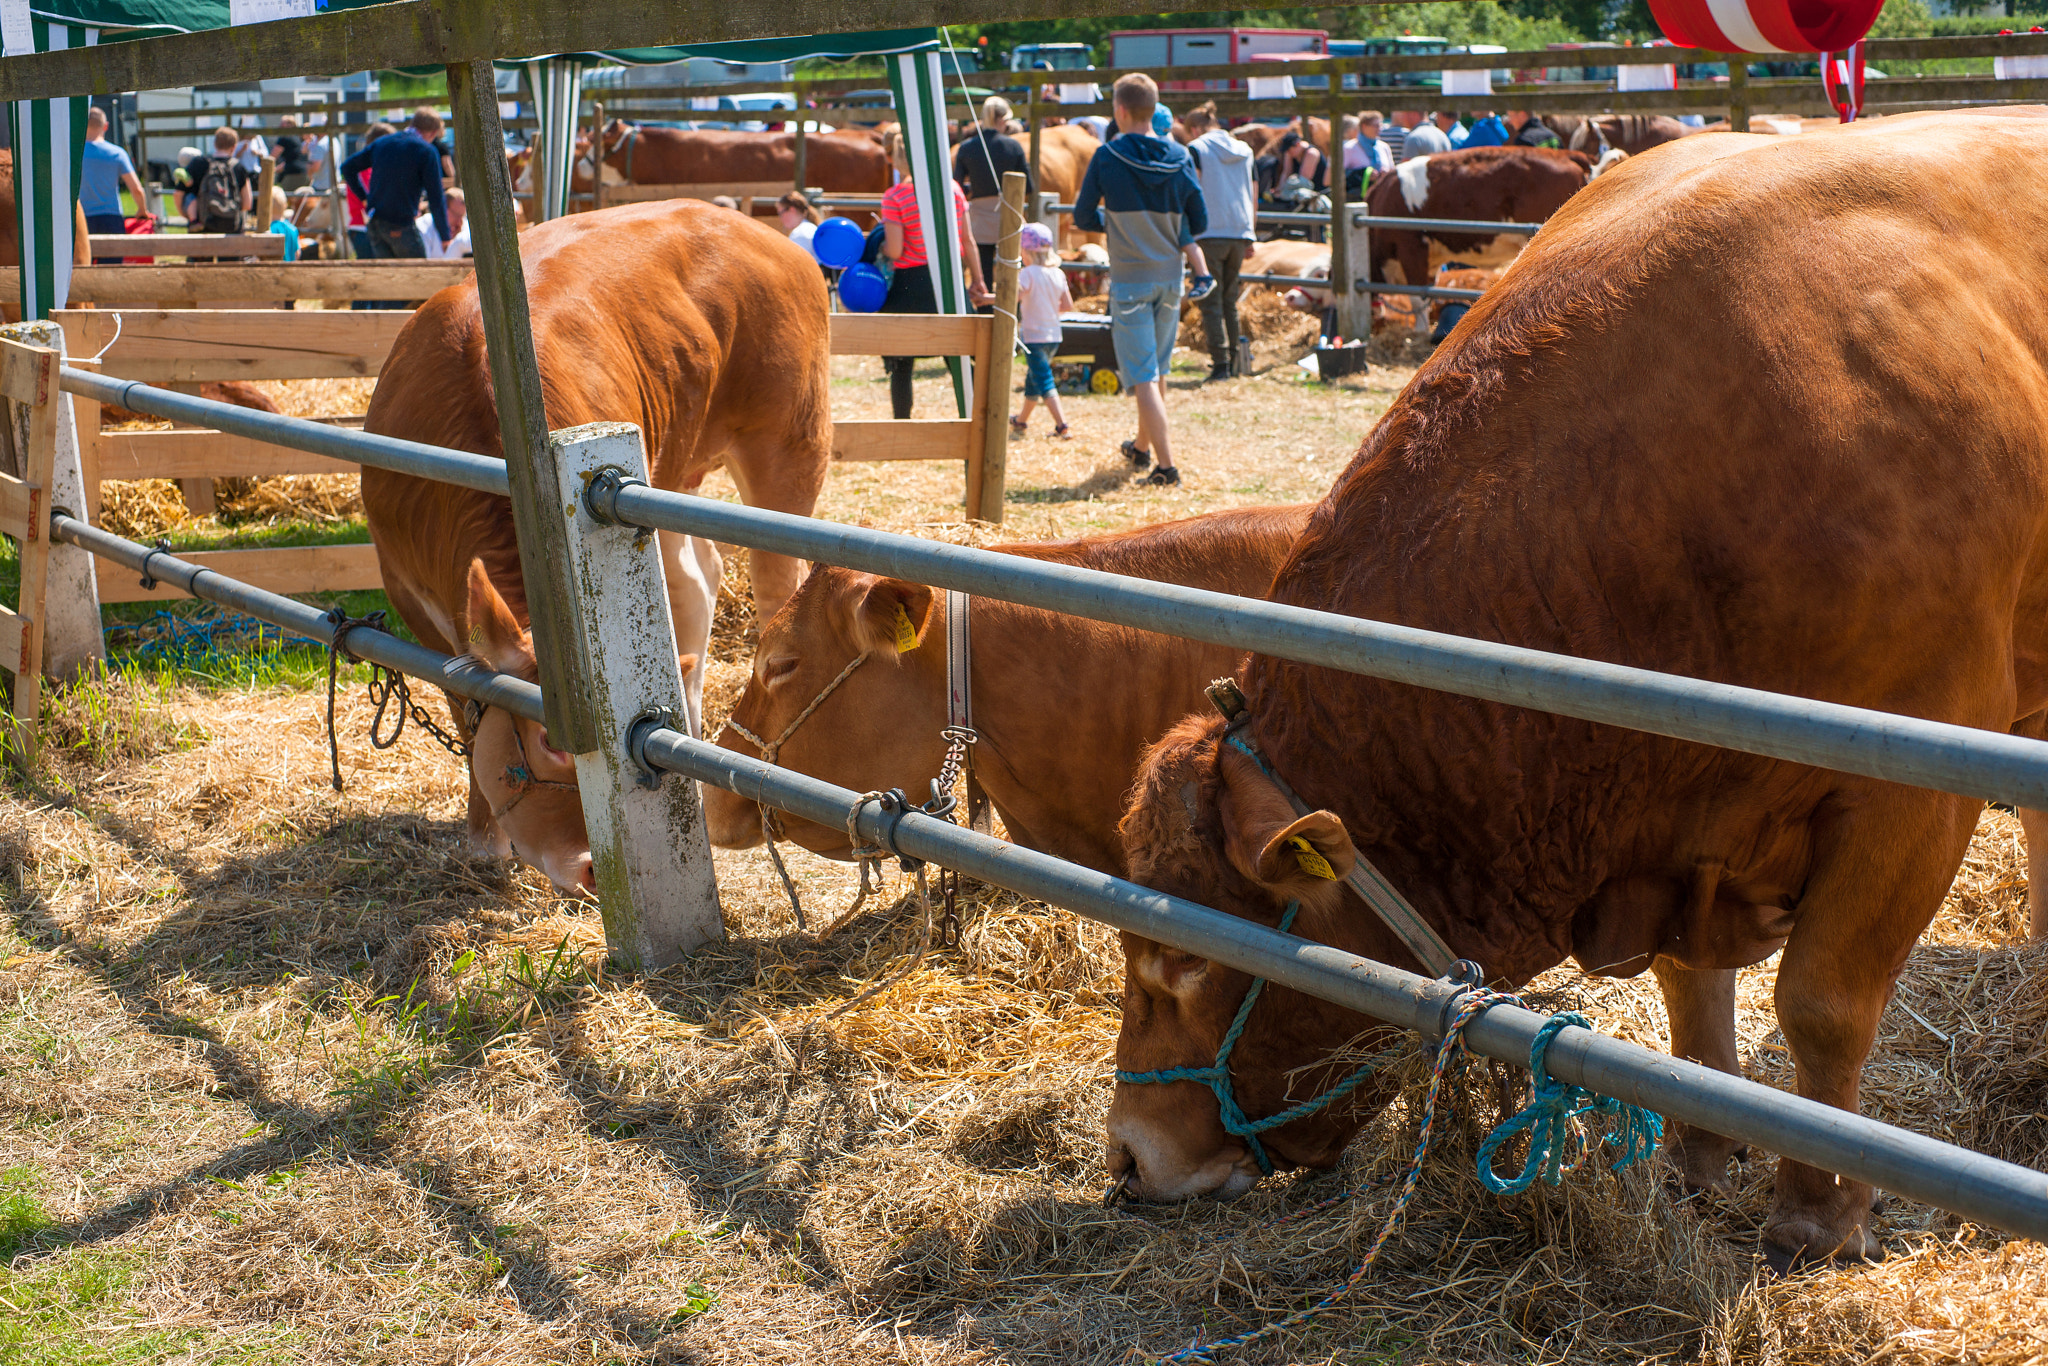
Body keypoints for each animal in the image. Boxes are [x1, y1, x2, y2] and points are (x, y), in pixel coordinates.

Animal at [360, 199, 832, 894]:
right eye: (545, 741)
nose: (587, 865)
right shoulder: (403, 586)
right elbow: (461, 702)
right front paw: (483, 839)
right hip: (669, 471)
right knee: (695, 579)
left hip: (790, 443)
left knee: (778, 583)